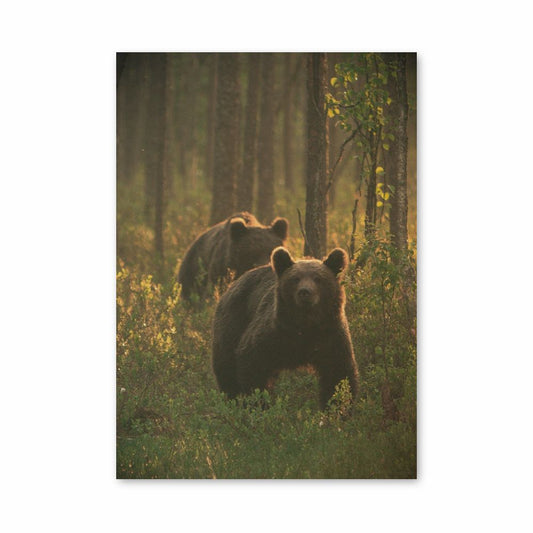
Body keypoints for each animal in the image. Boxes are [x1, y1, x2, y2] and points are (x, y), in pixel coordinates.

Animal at [211, 244, 358, 408]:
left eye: (318, 279)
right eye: (295, 278)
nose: (304, 292)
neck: (305, 325)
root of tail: (231, 284)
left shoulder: (329, 335)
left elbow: (338, 373)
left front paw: (337, 406)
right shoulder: (273, 334)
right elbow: (252, 362)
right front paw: (259, 402)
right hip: (233, 322)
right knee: (226, 366)